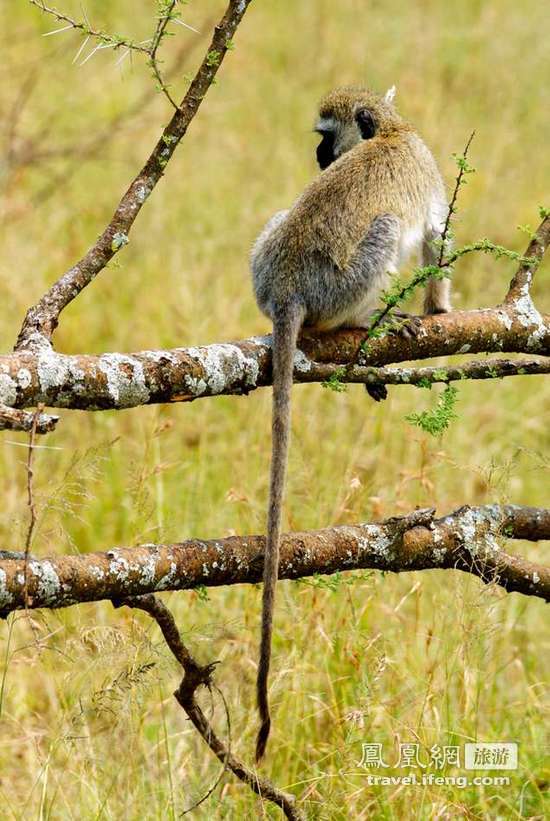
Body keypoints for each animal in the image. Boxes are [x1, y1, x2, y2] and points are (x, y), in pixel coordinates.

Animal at [250, 86, 452, 760]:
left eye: (323, 135)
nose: (316, 156)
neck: (392, 129)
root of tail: (286, 292)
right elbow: (437, 240)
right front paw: (437, 310)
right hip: (343, 283)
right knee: (386, 232)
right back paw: (367, 324)